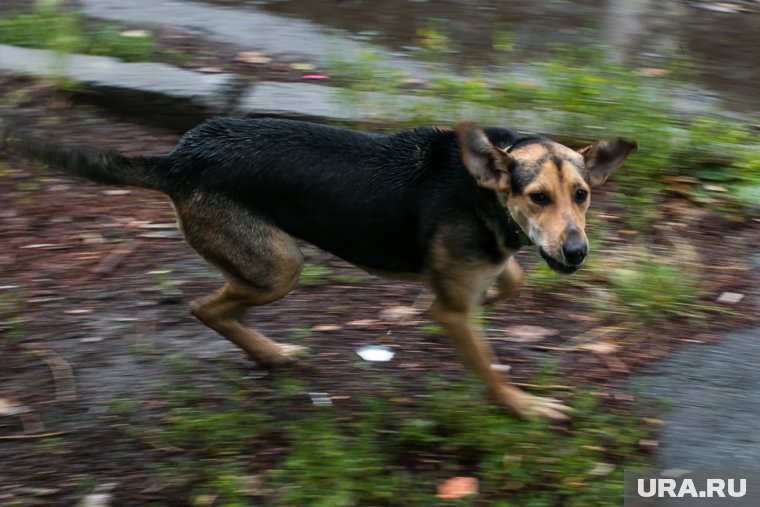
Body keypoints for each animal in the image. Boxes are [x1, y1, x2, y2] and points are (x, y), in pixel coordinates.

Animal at [2, 118, 640, 420]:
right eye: (537, 197)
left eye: (582, 195)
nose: (577, 253)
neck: (481, 193)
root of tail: (178, 158)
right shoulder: (451, 311)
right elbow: (488, 368)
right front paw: (522, 407)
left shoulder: (486, 271)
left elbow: (509, 277)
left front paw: (502, 284)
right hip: (280, 266)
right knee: (205, 305)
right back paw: (270, 353)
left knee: (213, 305)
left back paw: (270, 356)